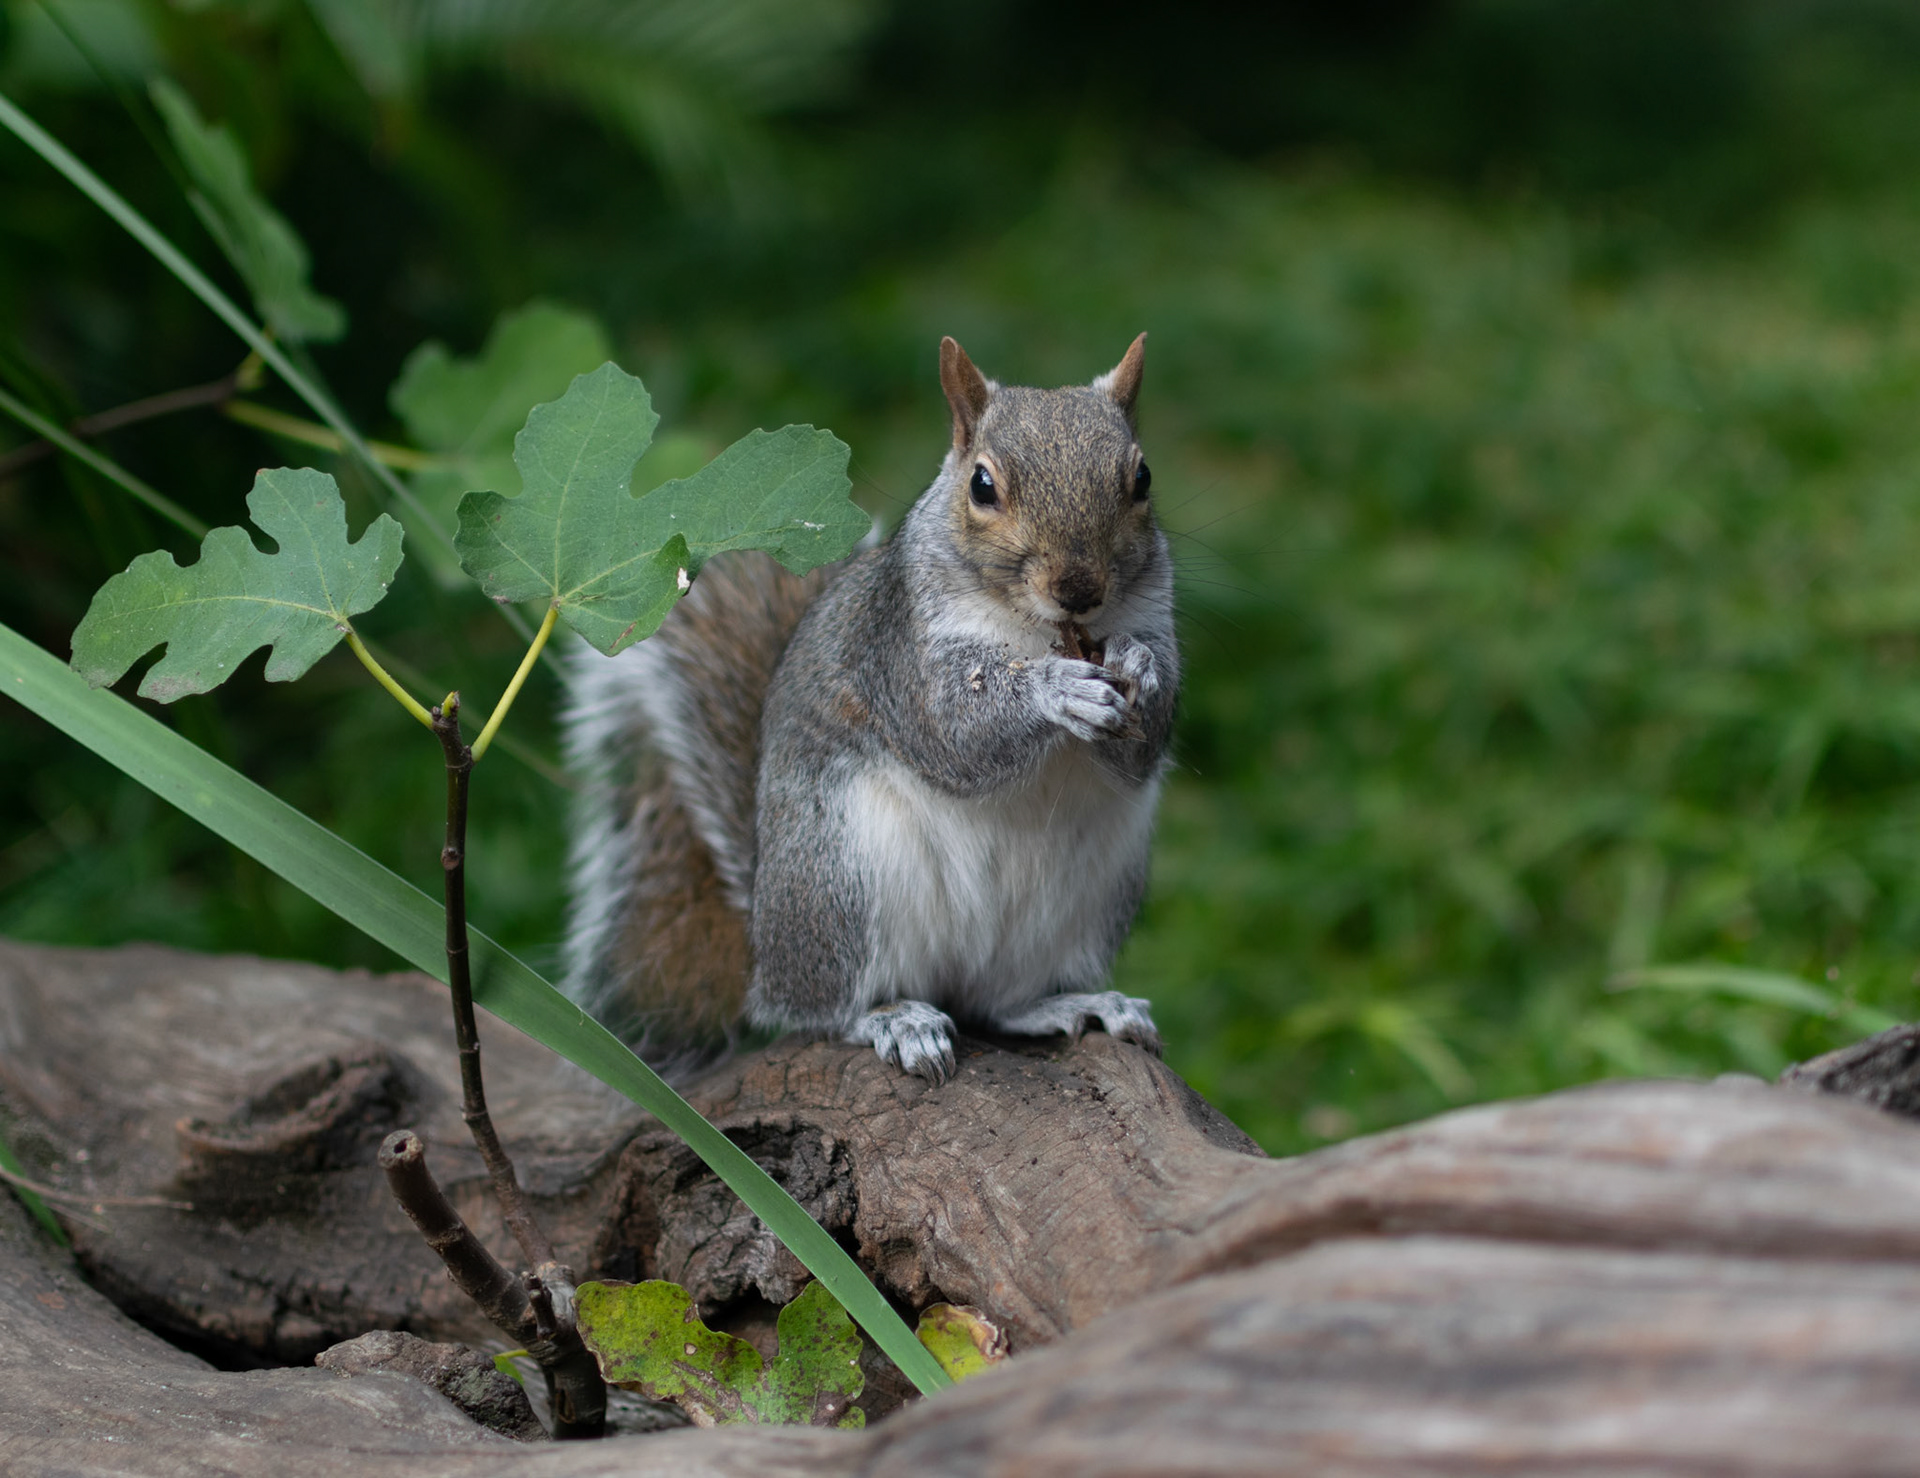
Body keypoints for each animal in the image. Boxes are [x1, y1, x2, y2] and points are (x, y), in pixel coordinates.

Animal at [560, 334, 1178, 1082]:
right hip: (840, 881)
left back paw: (1077, 1004)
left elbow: (1145, 743)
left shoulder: (1153, 615)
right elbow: (954, 734)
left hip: (1087, 901)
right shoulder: (897, 653)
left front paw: (1140, 670)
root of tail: (765, 941)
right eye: (982, 486)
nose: (1079, 589)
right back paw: (895, 1020)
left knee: (998, 1002)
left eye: (1142, 477)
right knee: (819, 1012)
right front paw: (1055, 688)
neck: (1037, 630)